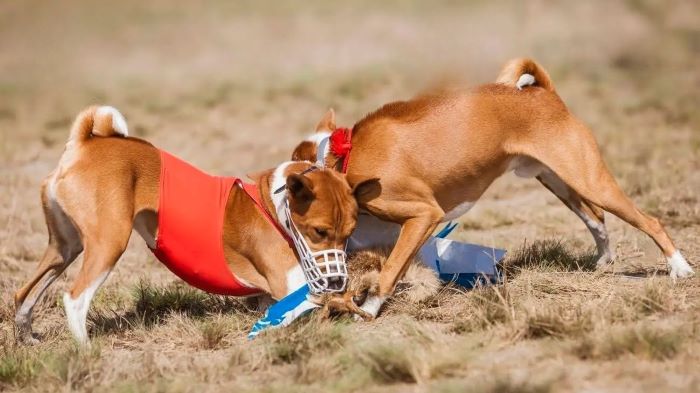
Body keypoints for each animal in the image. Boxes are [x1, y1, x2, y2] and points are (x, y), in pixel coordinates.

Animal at [15, 105, 366, 344]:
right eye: (319, 232)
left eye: (350, 234)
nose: (337, 281)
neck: (273, 207)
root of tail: (84, 143)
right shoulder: (293, 291)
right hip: (108, 243)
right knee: (74, 298)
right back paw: (86, 350)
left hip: (64, 247)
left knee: (25, 293)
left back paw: (26, 338)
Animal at [292, 57, 696, 318]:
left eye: (317, 230)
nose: (325, 277)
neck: (345, 160)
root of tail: (545, 93)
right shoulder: (404, 230)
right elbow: (398, 266)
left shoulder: (423, 215)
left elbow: (390, 270)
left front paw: (370, 307)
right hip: (559, 182)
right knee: (595, 218)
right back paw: (604, 259)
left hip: (590, 180)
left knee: (648, 220)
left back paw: (679, 268)